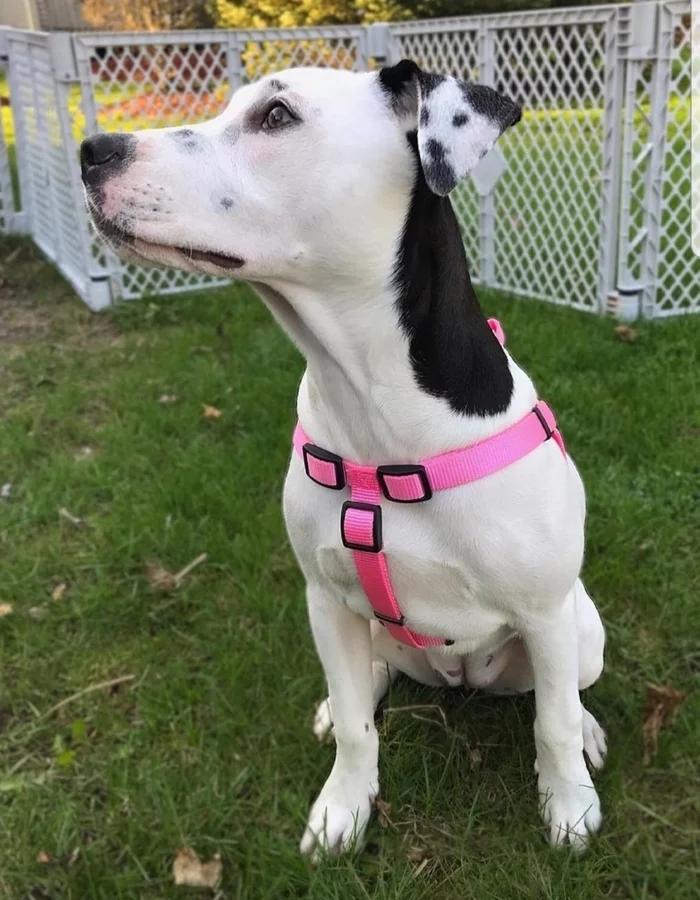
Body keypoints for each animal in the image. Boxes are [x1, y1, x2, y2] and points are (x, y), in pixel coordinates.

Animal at [80, 59, 608, 860]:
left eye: (276, 116)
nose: (90, 151)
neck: (373, 406)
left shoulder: (544, 613)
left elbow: (552, 723)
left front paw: (569, 806)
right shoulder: (324, 600)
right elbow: (360, 731)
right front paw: (343, 809)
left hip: (581, 628)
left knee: (569, 691)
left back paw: (591, 731)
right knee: (369, 675)